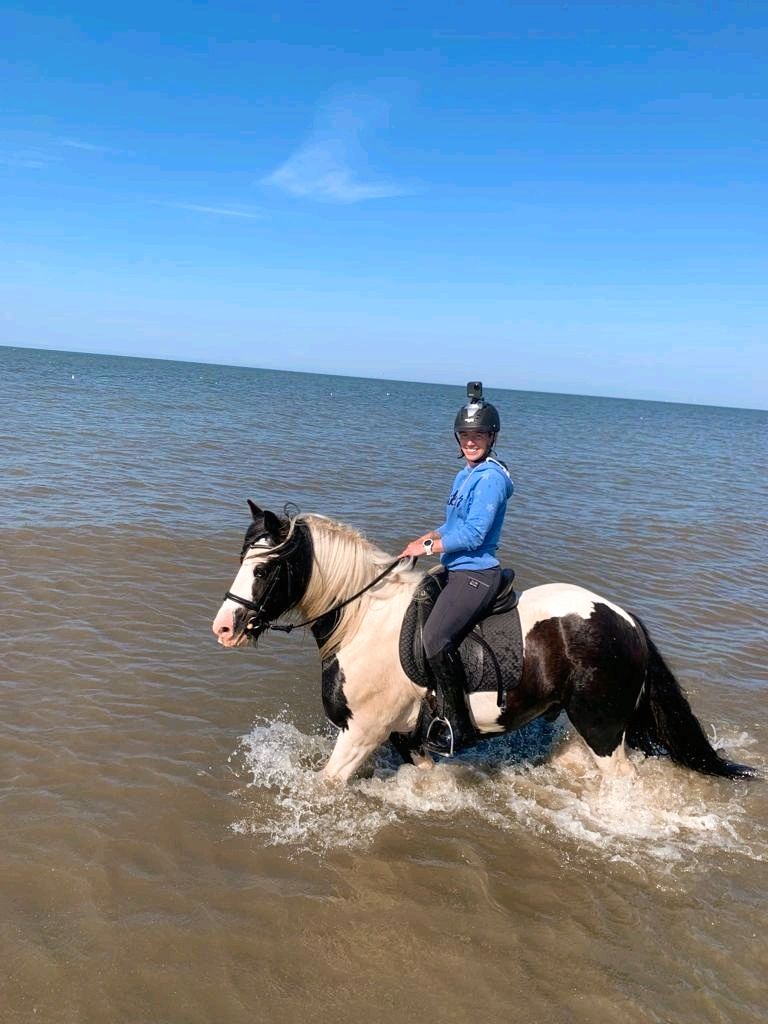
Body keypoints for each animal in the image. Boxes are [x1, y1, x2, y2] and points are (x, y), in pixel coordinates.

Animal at [210, 501, 757, 782]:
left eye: (265, 568)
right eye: (242, 557)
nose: (224, 627)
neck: (365, 620)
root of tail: (625, 619)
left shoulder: (364, 731)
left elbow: (327, 784)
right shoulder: (405, 737)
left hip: (602, 728)